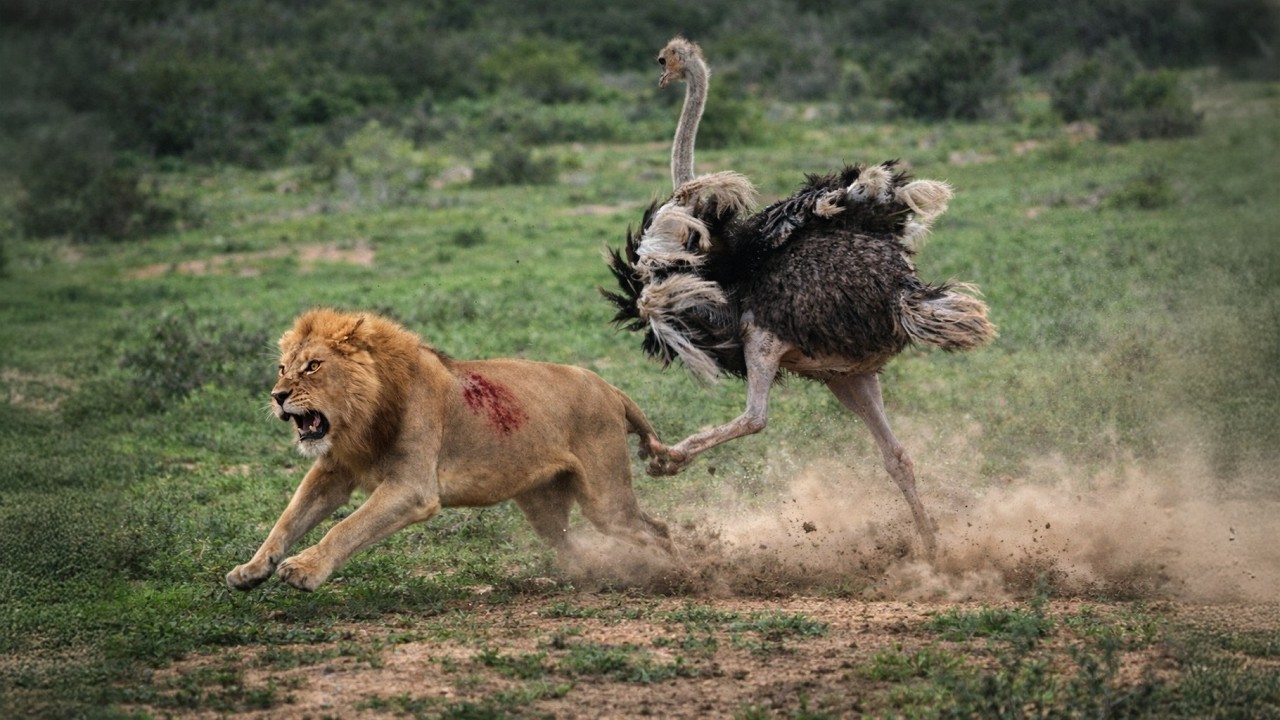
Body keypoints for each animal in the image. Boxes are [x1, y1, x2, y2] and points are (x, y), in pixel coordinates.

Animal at [226, 308, 676, 592]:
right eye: (283, 368)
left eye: (314, 366)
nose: (277, 396)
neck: (363, 417)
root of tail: (610, 387)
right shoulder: (334, 470)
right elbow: (288, 519)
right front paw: (251, 570)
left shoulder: (412, 489)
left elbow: (347, 527)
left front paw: (305, 569)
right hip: (543, 507)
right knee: (577, 544)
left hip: (604, 498)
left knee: (656, 530)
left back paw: (677, 574)